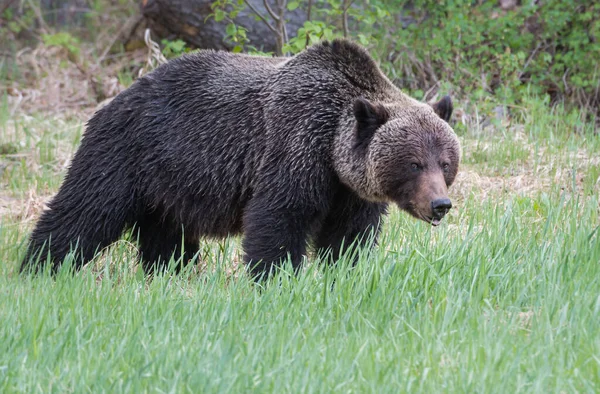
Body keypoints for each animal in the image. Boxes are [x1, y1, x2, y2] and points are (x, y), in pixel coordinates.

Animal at [18, 39, 460, 278]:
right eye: (414, 163)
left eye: (445, 163)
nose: (440, 204)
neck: (332, 149)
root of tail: (117, 96)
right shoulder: (295, 146)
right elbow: (278, 219)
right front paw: (275, 279)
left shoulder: (350, 190)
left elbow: (348, 238)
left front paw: (344, 272)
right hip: (128, 152)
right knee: (85, 211)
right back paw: (38, 267)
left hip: (168, 183)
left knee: (167, 236)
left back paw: (171, 273)